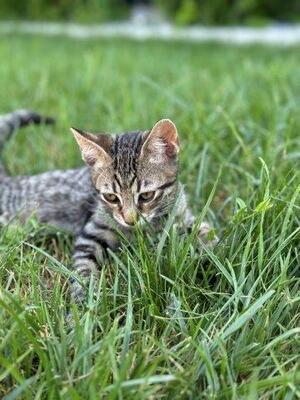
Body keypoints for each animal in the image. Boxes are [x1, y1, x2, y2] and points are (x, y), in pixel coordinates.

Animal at [0, 108, 217, 300]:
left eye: (147, 195)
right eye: (111, 197)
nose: (130, 220)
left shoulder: (181, 214)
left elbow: (205, 232)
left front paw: (213, 255)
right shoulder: (91, 233)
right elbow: (83, 270)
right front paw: (83, 301)